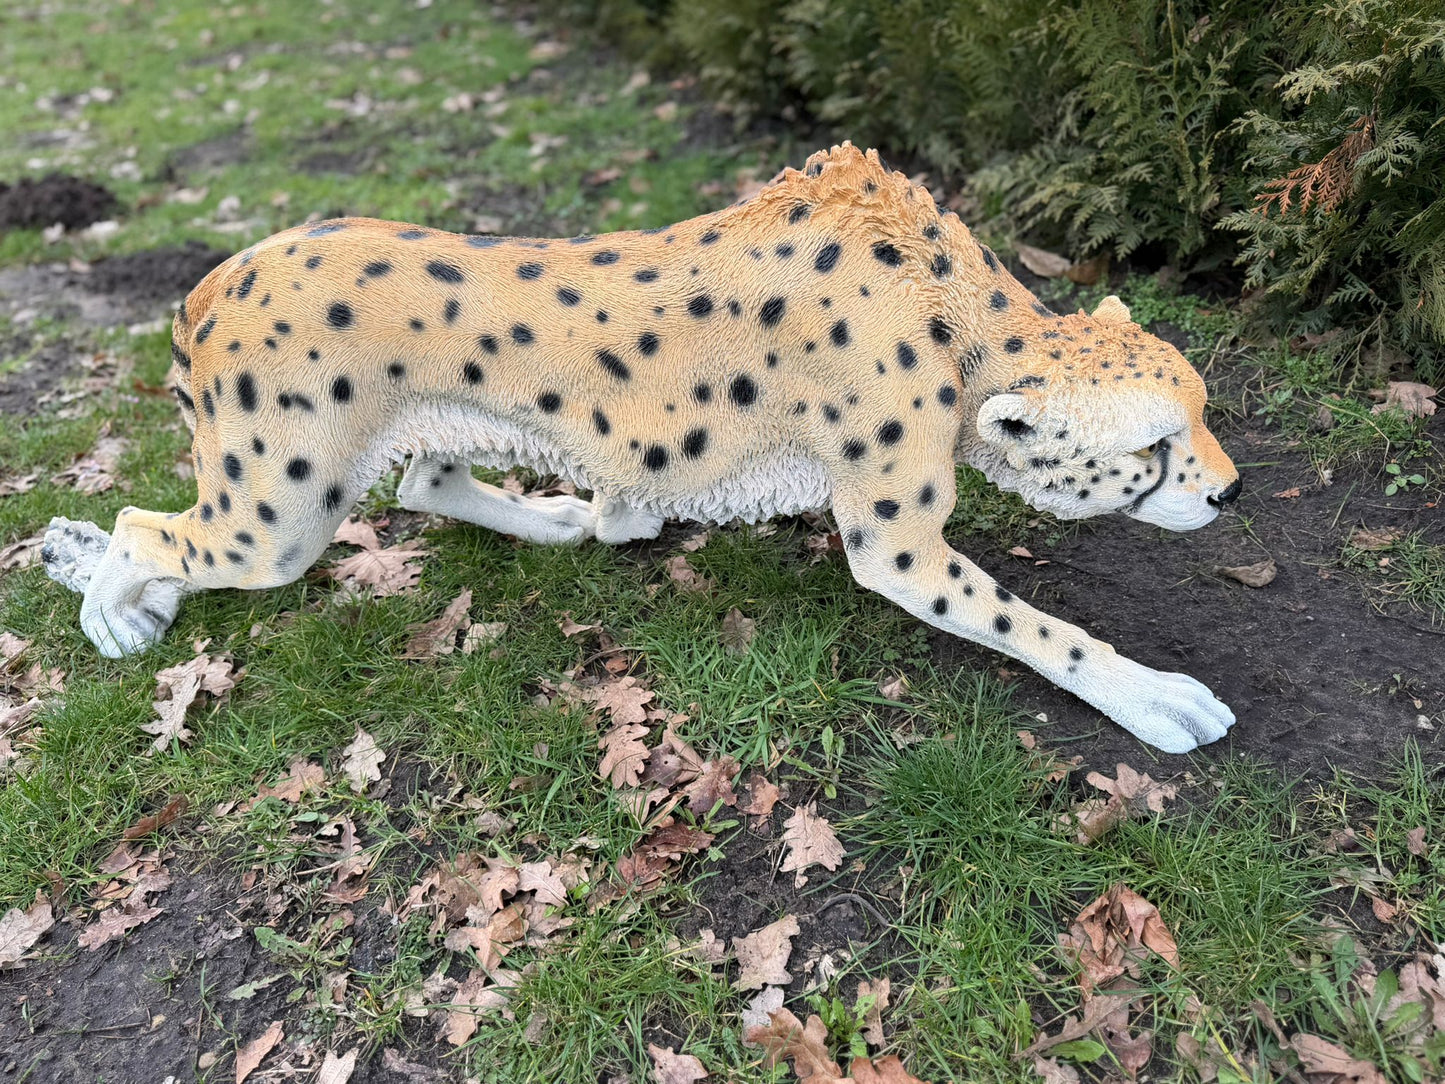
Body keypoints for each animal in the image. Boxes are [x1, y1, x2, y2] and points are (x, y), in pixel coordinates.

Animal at [41, 142, 1241, 753]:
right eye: (1153, 446)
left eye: (1202, 409)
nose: (1228, 495)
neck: (957, 307)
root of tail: (216, 276)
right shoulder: (896, 544)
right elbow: (1033, 624)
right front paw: (1153, 697)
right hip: (280, 519)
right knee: (150, 524)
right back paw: (111, 604)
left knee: (427, 479)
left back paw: (575, 517)